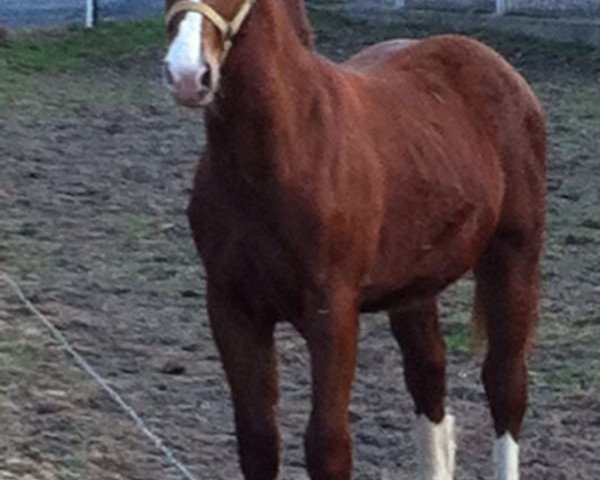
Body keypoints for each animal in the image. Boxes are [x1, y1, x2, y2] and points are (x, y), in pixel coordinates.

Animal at [162, 0, 548, 480]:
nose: (187, 74)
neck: (283, 154)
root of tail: (499, 68)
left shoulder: (334, 313)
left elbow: (327, 446)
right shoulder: (231, 308)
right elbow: (257, 441)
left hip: (514, 255)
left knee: (505, 383)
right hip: (415, 286)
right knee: (428, 379)